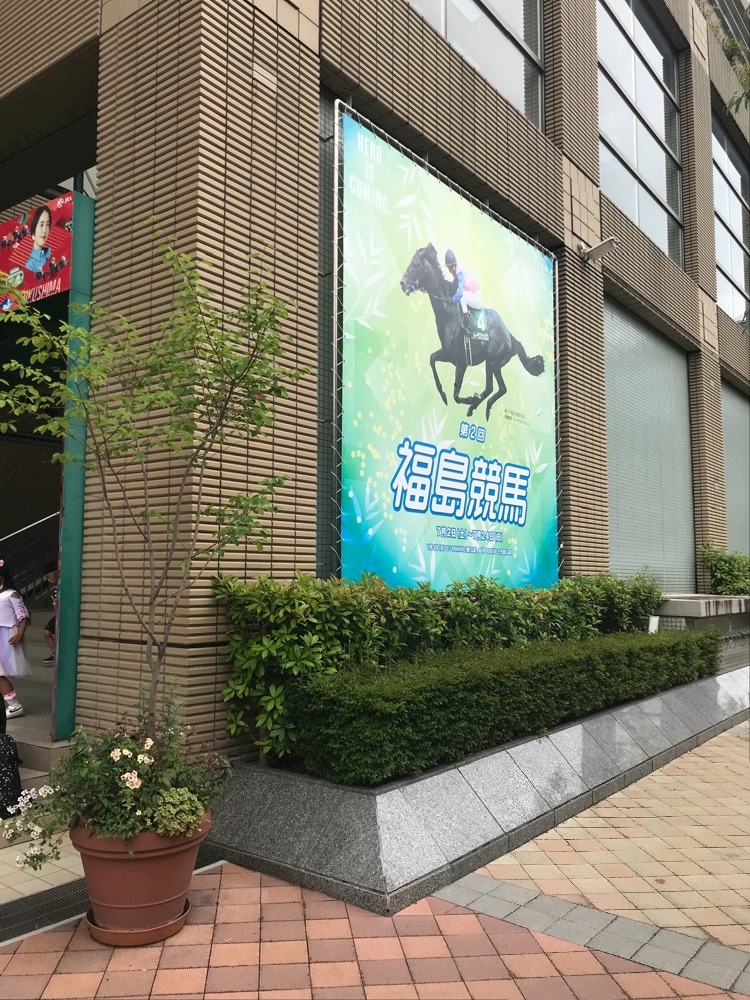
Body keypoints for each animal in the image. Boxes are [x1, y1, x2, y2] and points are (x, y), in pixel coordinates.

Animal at [399, 243, 545, 420]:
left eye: (417, 265)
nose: (403, 284)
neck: (448, 312)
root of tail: (509, 335)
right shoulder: (447, 354)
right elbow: (432, 360)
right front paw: (443, 395)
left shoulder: (461, 362)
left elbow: (456, 395)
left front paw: (469, 398)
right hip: (494, 363)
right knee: (497, 388)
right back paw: (479, 407)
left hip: (492, 361)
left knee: (495, 388)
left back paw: (476, 404)